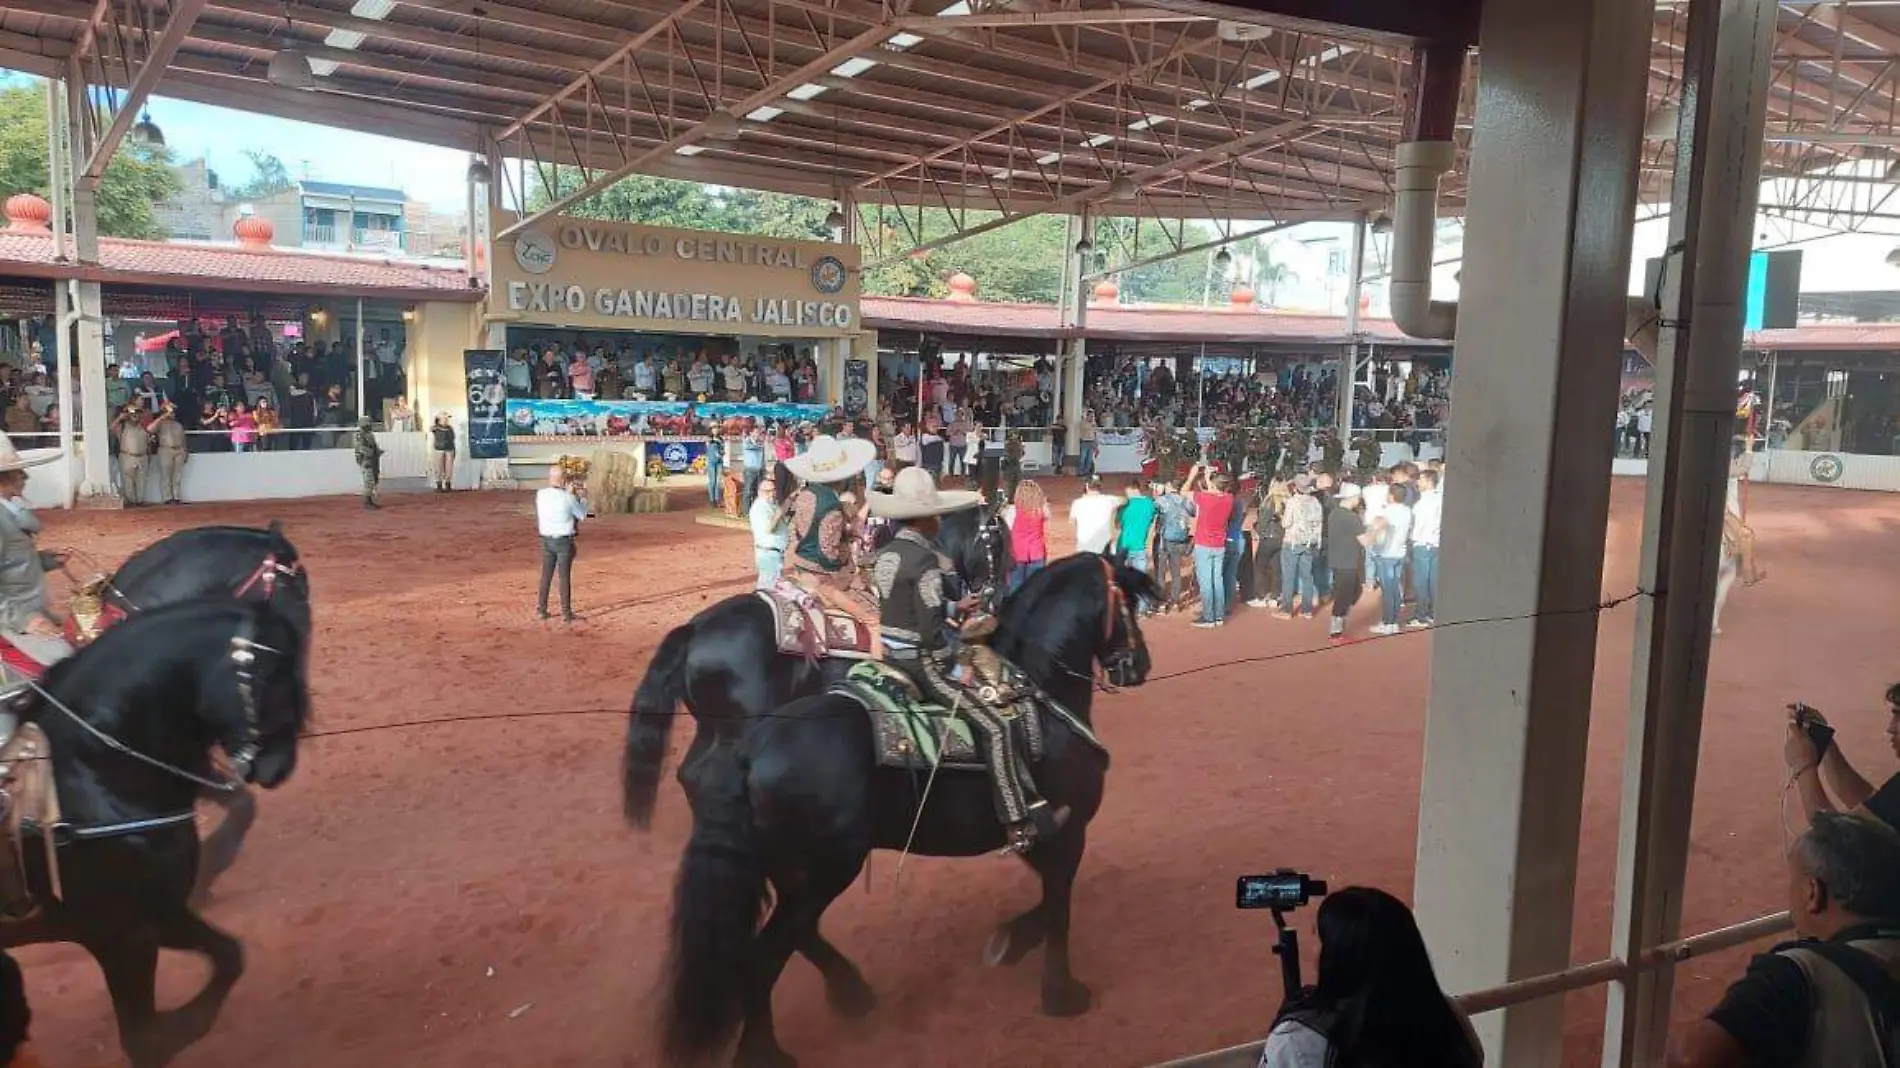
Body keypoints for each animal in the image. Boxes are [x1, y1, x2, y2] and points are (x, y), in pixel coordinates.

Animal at [0, 592, 307, 1056]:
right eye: (272, 672)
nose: (279, 767)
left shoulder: (160, 919)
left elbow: (229, 956)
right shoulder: (127, 934)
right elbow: (147, 1040)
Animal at [623, 501, 1010, 824]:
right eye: (999, 540)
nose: (996, 592)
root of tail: (695, 628)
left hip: (711, 726)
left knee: (689, 774)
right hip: (735, 731)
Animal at [642, 551, 1155, 1056]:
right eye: (1130, 604)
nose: (1140, 665)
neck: (1037, 694)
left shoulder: (1035, 834)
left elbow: (1048, 898)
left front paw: (1011, 944)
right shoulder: (1068, 830)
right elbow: (1058, 906)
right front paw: (1061, 992)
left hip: (788, 869)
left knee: (784, 934)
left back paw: (850, 992)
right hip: (823, 871)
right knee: (763, 953)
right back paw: (769, 1049)